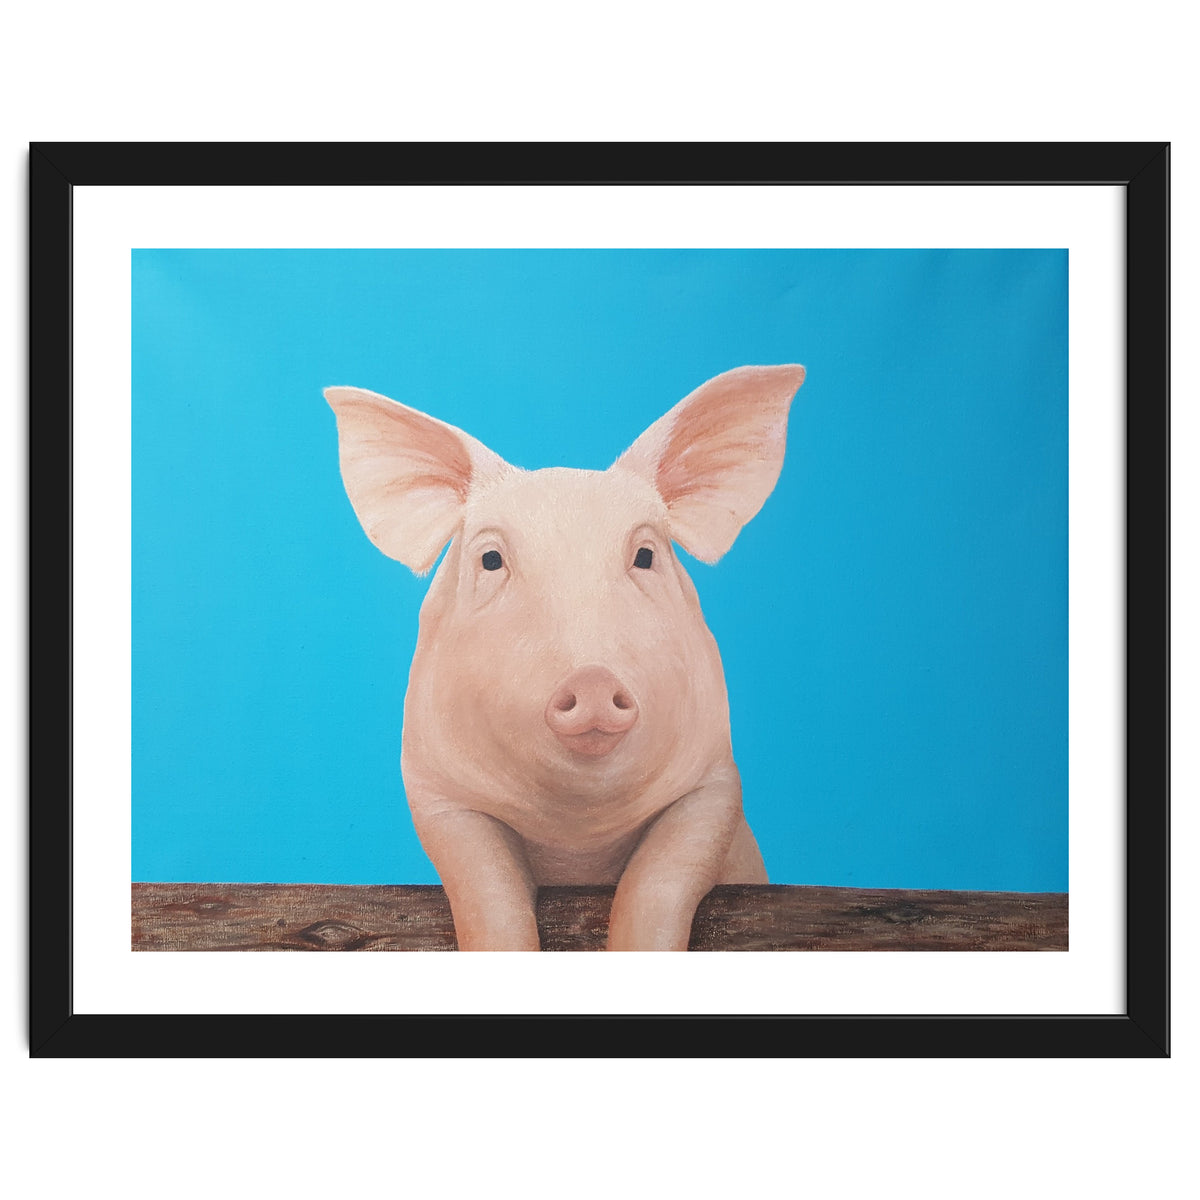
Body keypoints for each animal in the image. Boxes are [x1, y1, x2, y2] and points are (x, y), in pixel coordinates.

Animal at [326, 364, 806, 951]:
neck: (577, 835)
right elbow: (487, 892)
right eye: (491, 559)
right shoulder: (437, 793)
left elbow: (659, 881)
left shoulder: (714, 783)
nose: (593, 679)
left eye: (645, 555)